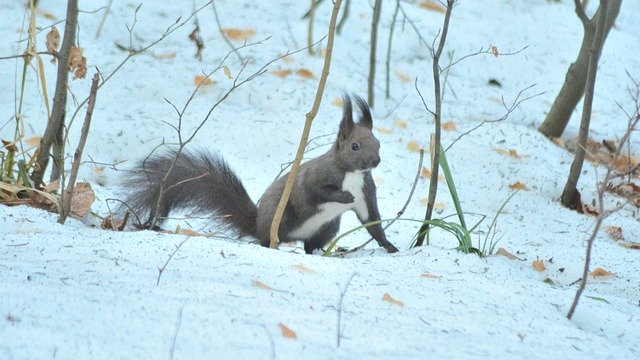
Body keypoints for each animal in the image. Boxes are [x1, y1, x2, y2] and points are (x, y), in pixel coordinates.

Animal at [122, 94, 398, 255]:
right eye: (355, 146)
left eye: (378, 143)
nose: (375, 161)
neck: (353, 173)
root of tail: (258, 226)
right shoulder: (316, 176)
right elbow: (316, 191)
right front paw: (342, 197)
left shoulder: (365, 193)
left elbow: (372, 222)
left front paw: (389, 246)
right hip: (283, 215)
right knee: (268, 240)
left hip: (327, 227)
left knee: (311, 245)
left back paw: (318, 251)